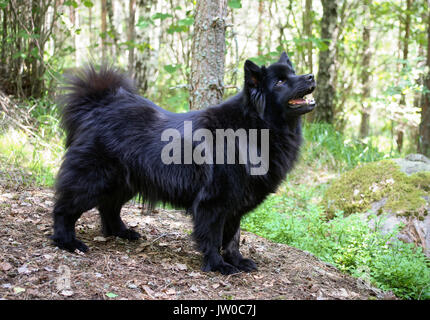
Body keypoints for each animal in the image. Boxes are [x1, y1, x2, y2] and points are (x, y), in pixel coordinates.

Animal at [52, 52, 316, 276]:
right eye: (280, 82)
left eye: (293, 73)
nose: (311, 76)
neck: (255, 128)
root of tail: (100, 105)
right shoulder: (214, 202)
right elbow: (213, 237)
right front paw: (218, 265)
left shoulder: (235, 203)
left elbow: (232, 237)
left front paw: (237, 260)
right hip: (93, 180)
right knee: (65, 209)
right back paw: (67, 242)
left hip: (125, 183)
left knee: (109, 208)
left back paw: (122, 232)